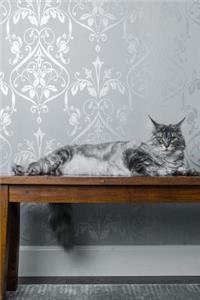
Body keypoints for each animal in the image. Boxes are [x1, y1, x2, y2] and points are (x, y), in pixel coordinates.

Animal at [11, 116, 196, 250]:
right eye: (159, 139)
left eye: (173, 138)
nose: (166, 145)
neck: (167, 159)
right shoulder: (134, 155)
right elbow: (149, 169)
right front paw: (162, 171)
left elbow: (181, 169)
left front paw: (188, 171)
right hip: (57, 157)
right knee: (36, 165)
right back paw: (21, 169)